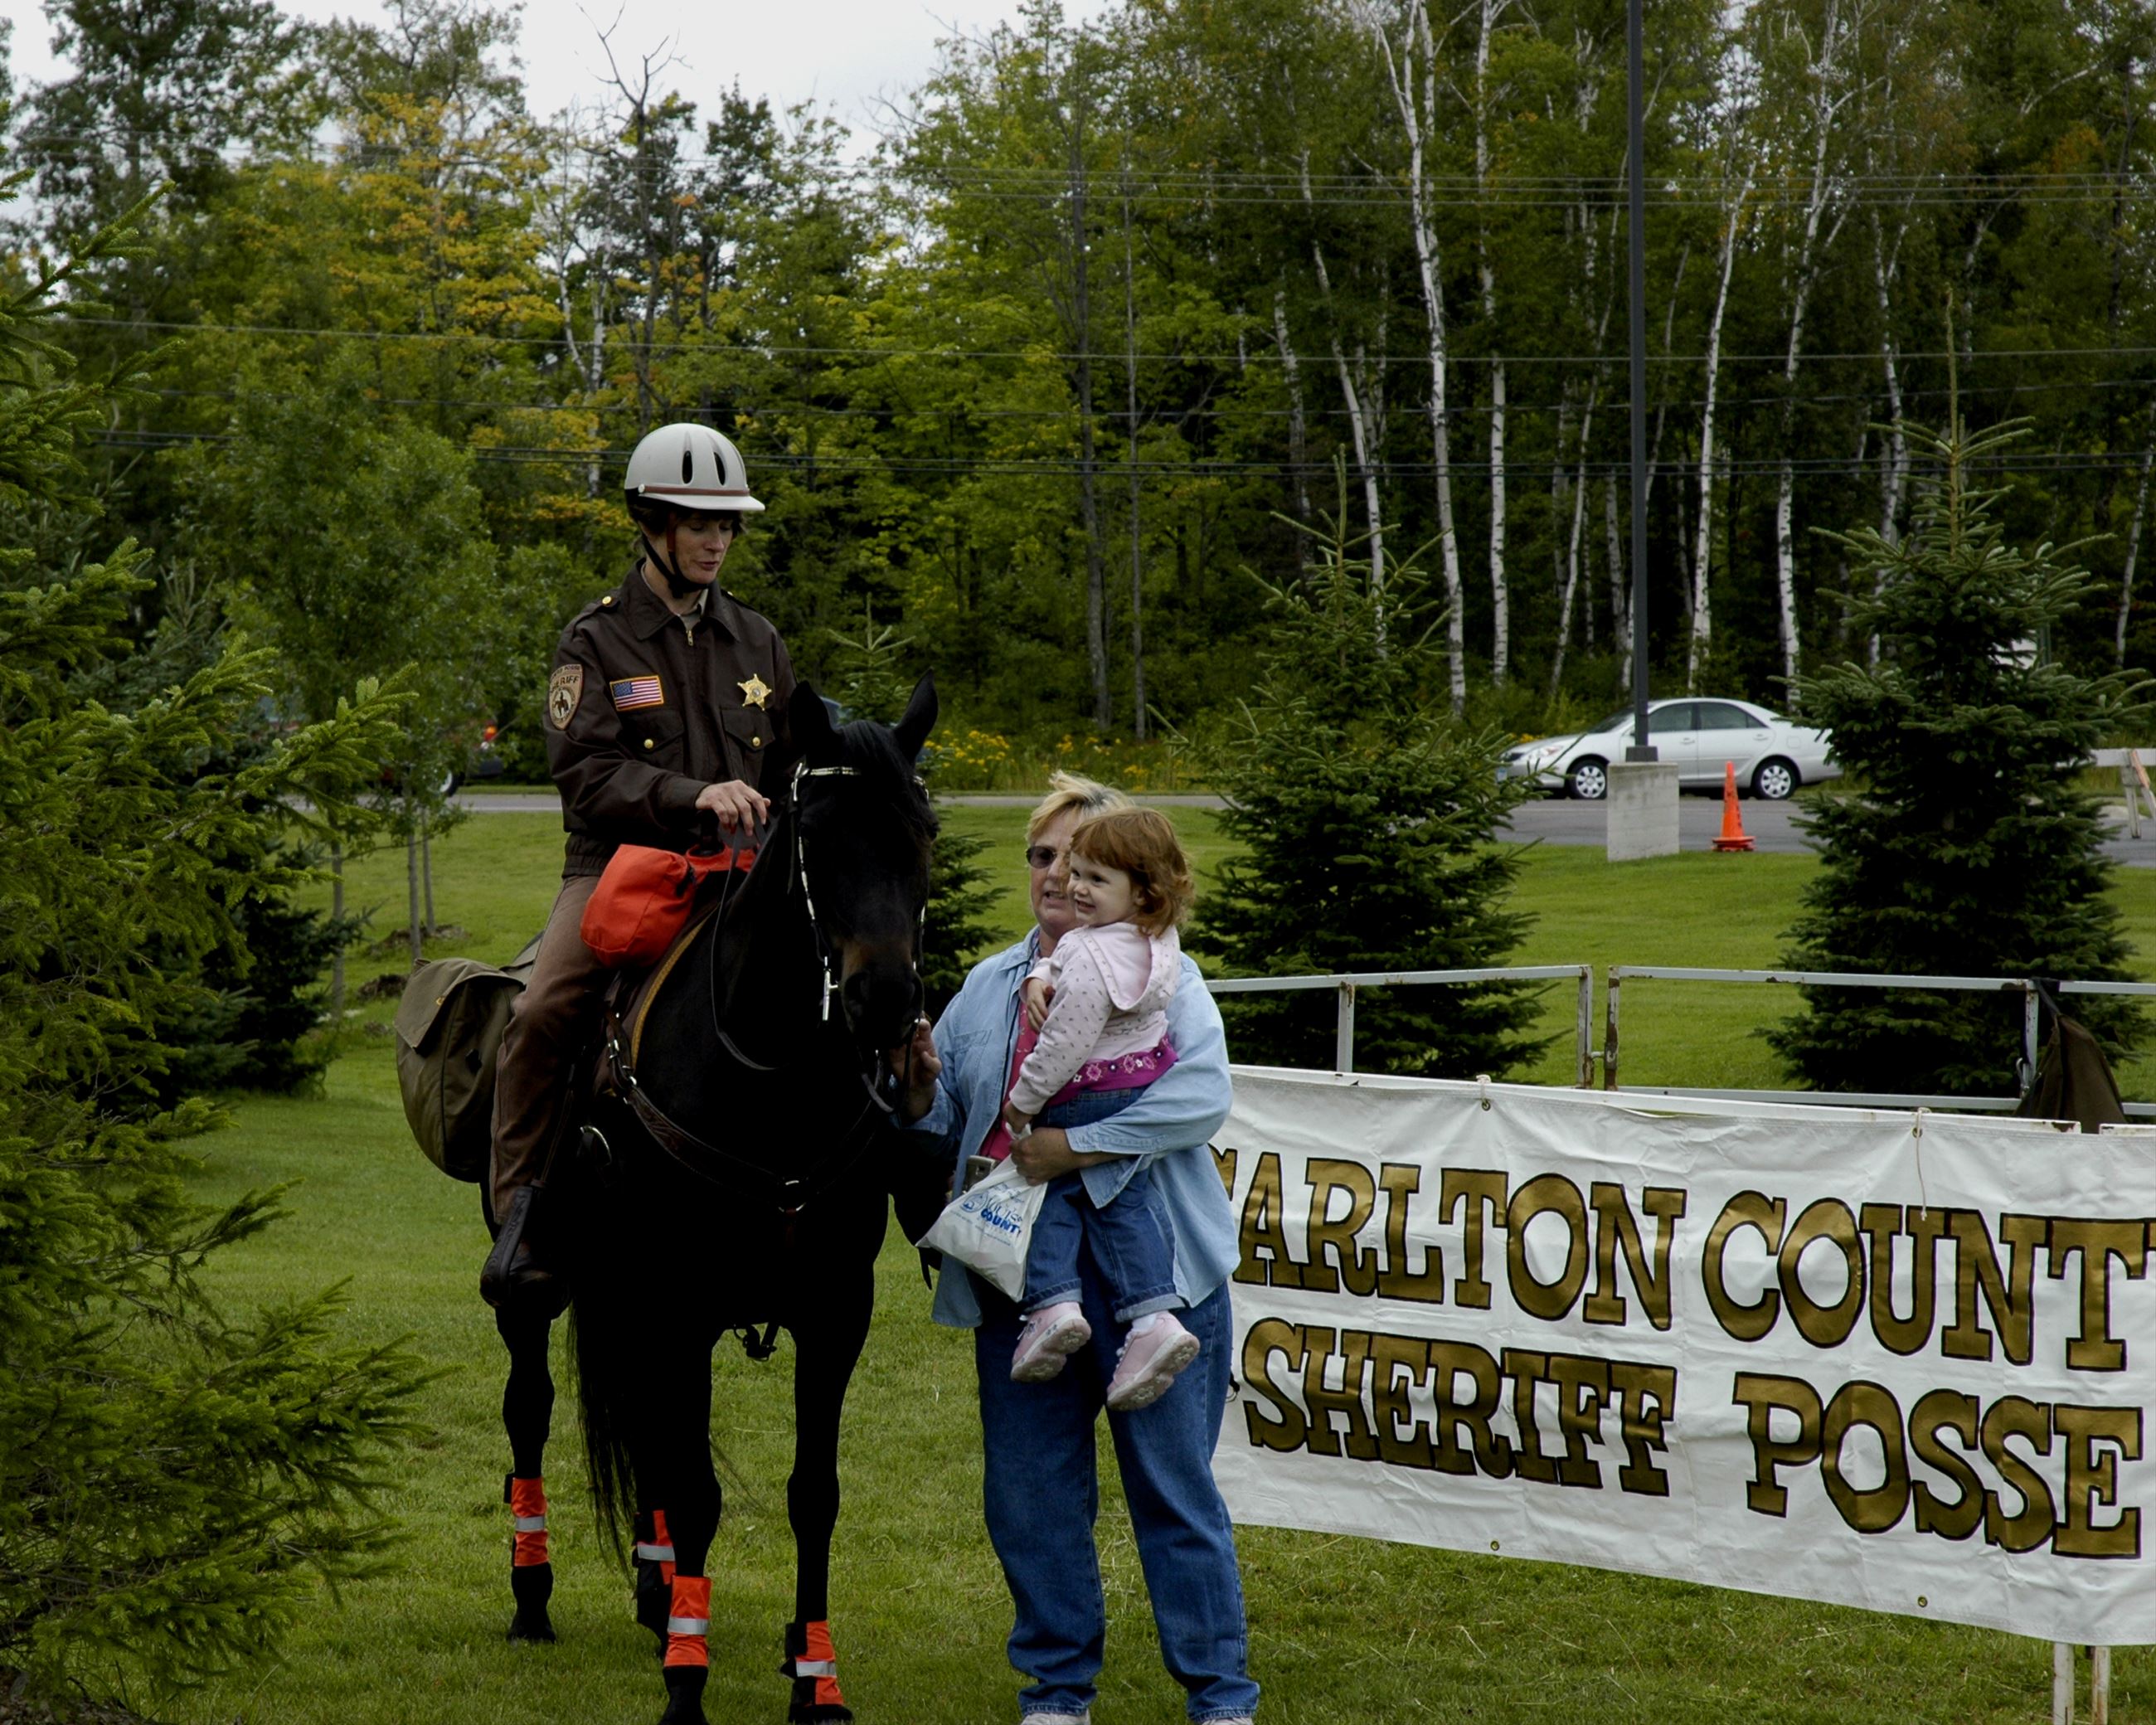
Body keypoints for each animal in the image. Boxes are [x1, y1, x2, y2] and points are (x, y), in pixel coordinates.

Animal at [560, 674, 939, 1725]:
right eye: (816, 833)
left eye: (922, 832)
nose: (884, 999)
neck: (771, 1087)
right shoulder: (680, 1306)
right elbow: (697, 1491)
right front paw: (686, 1687)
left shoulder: (836, 1312)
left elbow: (814, 1491)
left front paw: (815, 1675)